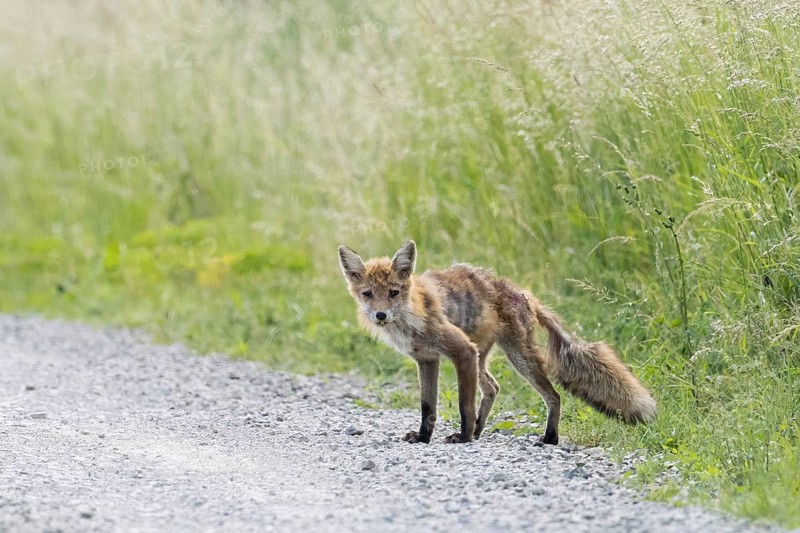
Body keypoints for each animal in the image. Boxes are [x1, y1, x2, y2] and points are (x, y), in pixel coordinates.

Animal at [338, 240, 656, 445]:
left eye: (393, 292)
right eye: (368, 294)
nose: (380, 315)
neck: (411, 315)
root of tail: (524, 292)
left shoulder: (460, 351)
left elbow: (464, 405)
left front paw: (463, 438)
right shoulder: (427, 358)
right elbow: (428, 407)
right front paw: (423, 437)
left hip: (515, 357)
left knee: (553, 395)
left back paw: (548, 438)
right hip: (482, 358)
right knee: (493, 387)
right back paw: (481, 430)